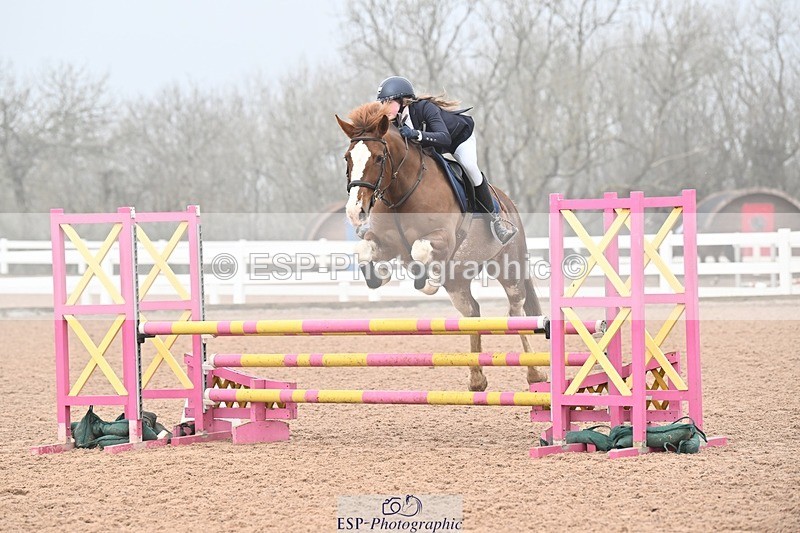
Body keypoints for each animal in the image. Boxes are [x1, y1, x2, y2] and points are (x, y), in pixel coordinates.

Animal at [335, 101, 546, 391]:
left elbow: (420, 250)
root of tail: (507, 202)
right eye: (348, 158)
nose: (355, 212)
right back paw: (477, 379)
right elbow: (365, 251)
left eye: (378, 158)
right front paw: (379, 276)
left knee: (515, 312)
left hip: (507, 267)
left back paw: (535, 373)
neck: (401, 192)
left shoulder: (443, 238)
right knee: (472, 312)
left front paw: (427, 281)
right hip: (458, 282)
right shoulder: (387, 244)